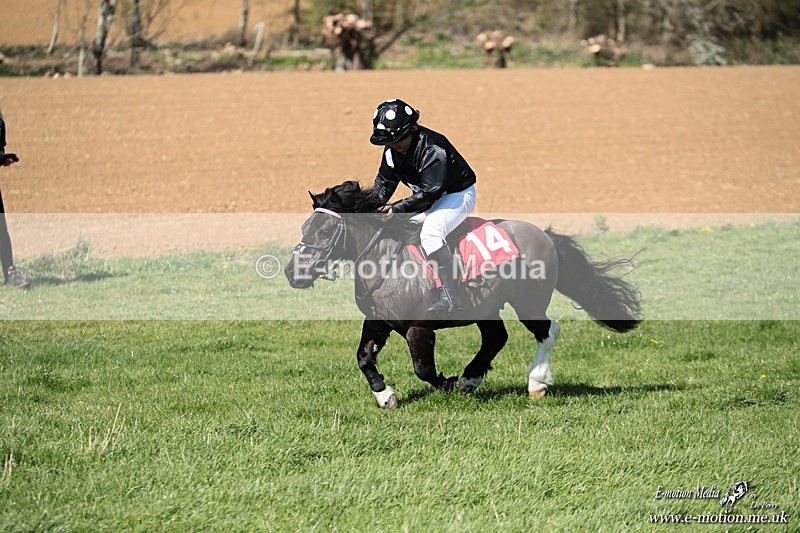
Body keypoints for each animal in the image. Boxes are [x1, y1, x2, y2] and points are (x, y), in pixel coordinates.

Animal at [284, 180, 642, 408]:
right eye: (304, 228)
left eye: (324, 231)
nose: (292, 272)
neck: (387, 261)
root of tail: (544, 234)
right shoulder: (378, 321)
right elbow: (364, 358)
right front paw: (385, 395)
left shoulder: (419, 328)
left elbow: (424, 369)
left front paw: (450, 383)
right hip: (487, 307)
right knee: (496, 337)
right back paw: (472, 378)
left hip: (528, 301)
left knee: (547, 329)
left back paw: (536, 382)